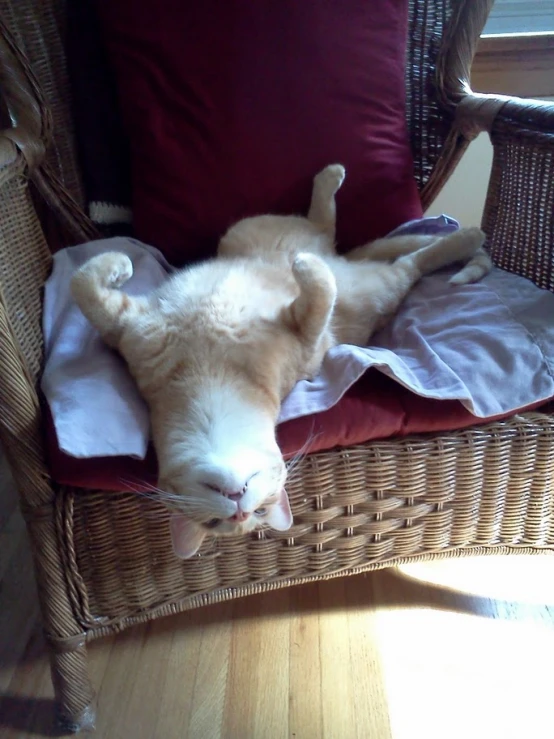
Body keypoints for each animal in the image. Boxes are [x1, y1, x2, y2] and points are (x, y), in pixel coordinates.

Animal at [70, 163, 488, 556]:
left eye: (257, 510)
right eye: (215, 523)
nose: (239, 507)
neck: (210, 381)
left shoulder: (125, 324)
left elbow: (83, 283)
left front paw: (118, 264)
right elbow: (83, 286)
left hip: (264, 237)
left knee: (355, 243)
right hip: (364, 279)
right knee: (377, 252)